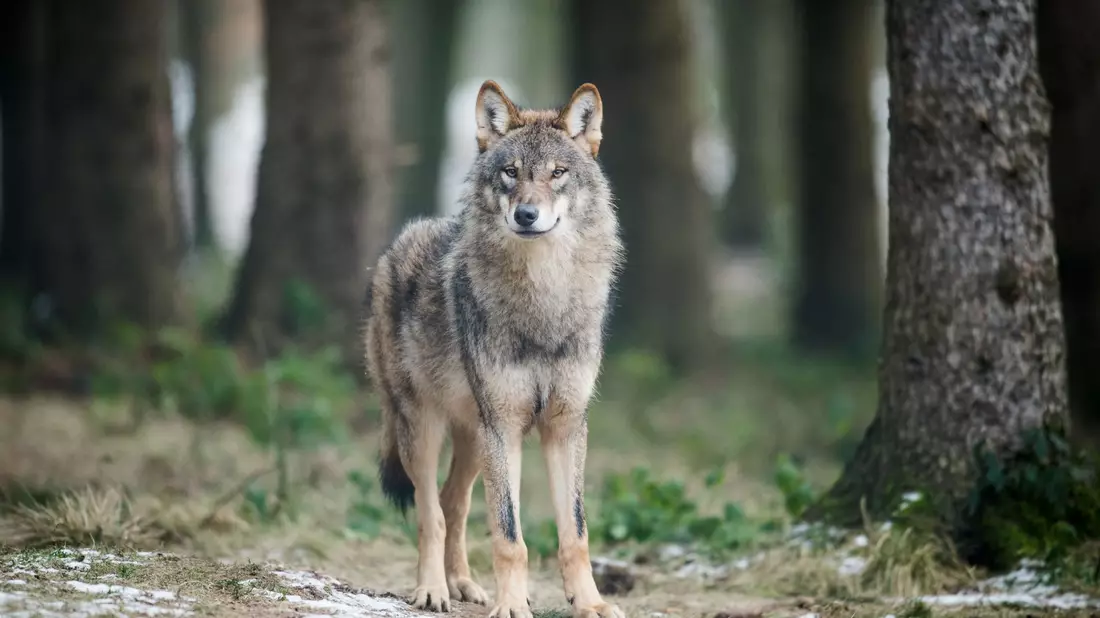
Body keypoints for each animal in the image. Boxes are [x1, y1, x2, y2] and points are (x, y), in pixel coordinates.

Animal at [362, 80, 625, 618]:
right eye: (511, 172)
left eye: (557, 173)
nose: (526, 214)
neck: (544, 300)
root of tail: (392, 249)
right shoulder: (503, 427)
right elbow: (509, 535)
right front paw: (510, 606)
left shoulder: (566, 426)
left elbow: (576, 533)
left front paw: (589, 603)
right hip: (425, 428)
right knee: (431, 512)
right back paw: (433, 590)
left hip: (471, 438)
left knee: (453, 502)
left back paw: (463, 584)